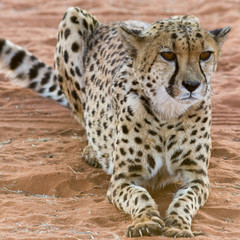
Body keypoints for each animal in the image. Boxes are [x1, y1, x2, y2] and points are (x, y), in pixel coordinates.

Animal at [0, 7, 230, 238]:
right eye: (168, 55)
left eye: (205, 55)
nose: (192, 85)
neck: (168, 112)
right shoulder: (123, 178)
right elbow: (139, 196)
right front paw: (145, 221)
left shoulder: (197, 176)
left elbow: (185, 201)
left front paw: (178, 225)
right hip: (72, 18)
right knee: (84, 116)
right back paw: (93, 151)